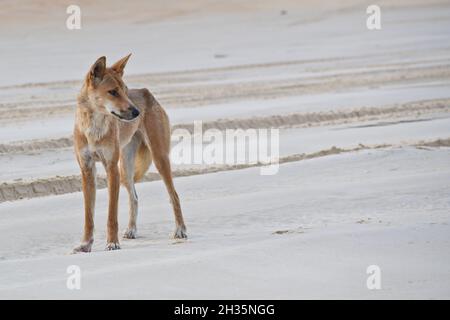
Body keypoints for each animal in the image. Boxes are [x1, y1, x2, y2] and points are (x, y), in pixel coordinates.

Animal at [74, 53, 186, 252]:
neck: (94, 128)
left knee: (174, 195)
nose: (137, 112)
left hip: (158, 159)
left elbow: (112, 214)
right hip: (125, 170)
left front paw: (112, 242)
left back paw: (180, 230)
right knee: (134, 198)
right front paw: (85, 244)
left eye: (125, 91)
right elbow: (89, 217)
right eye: (113, 92)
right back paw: (132, 229)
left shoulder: (111, 169)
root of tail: (146, 92)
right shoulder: (87, 170)